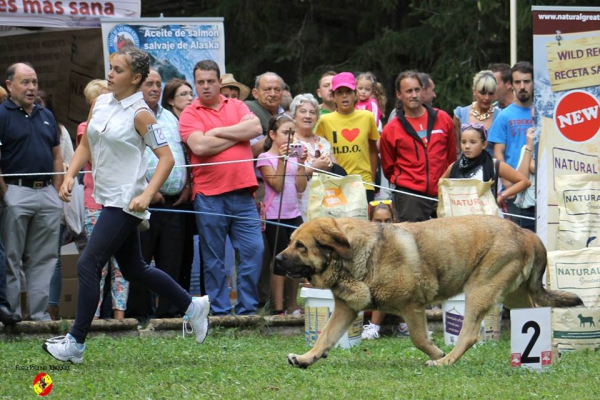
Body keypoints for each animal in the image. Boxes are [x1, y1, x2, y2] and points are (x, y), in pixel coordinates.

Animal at [278, 214, 584, 368]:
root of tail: (527, 233)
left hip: (479, 290)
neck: (355, 257)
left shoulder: (411, 306)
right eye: (291, 242)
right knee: (538, 317)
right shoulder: (346, 309)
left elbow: (419, 339)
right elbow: (324, 338)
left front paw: (436, 354)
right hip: (514, 296)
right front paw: (306, 358)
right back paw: (550, 354)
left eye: (300, 246)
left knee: (469, 334)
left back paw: (445, 361)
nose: (278, 259)